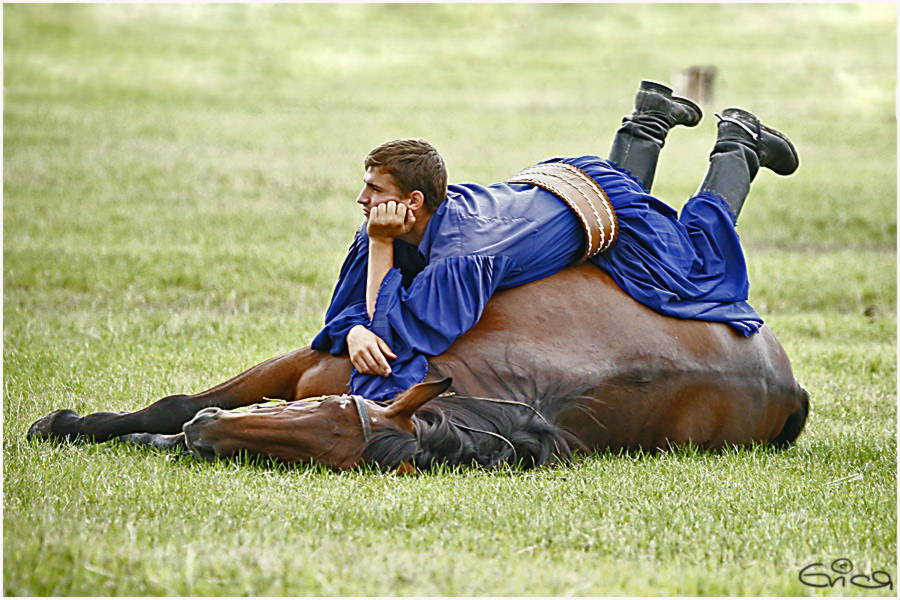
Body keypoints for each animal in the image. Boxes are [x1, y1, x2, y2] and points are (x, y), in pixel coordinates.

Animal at [26, 264, 808, 472]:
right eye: (326, 409)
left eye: (327, 458)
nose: (209, 438)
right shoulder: (307, 362)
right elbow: (172, 404)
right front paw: (66, 424)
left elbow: (175, 417)